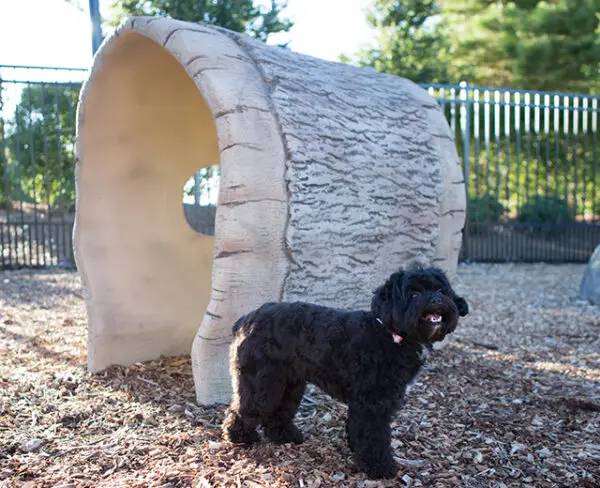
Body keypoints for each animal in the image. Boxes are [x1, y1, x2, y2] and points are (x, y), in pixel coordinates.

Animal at [223, 264, 472, 478]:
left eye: (440, 289)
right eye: (413, 294)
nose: (436, 299)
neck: (389, 333)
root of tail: (247, 320)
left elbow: (359, 430)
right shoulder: (372, 402)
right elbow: (373, 436)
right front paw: (379, 467)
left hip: (289, 384)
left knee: (278, 412)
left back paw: (284, 435)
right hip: (262, 383)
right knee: (243, 408)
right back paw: (240, 437)